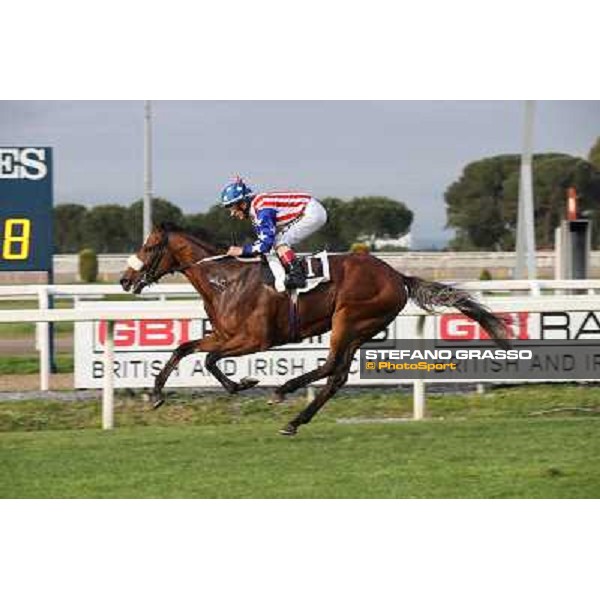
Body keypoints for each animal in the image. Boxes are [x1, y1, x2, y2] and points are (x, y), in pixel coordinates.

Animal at [119, 223, 508, 434]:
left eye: (149, 246)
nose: (124, 280)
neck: (225, 280)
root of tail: (397, 275)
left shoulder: (254, 339)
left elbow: (210, 359)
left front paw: (245, 383)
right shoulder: (224, 334)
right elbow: (184, 349)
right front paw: (156, 394)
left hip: (349, 319)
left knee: (331, 366)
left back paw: (284, 391)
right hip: (360, 329)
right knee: (337, 376)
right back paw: (295, 420)